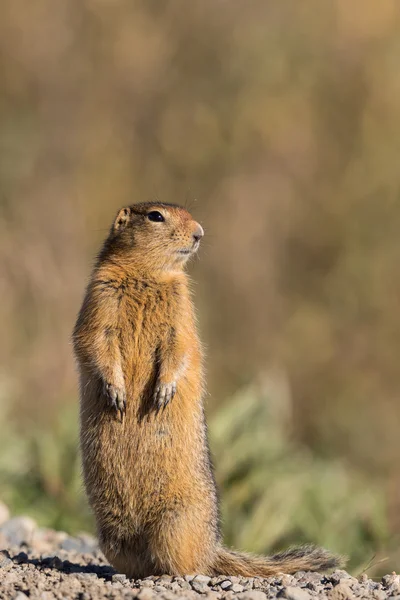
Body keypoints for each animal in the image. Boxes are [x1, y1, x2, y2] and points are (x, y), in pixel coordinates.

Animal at [72, 204, 344, 580]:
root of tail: (212, 549)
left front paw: (162, 393)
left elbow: (182, 345)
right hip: (114, 536)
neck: (149, 275)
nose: (200, 232)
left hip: (176, 522)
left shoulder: (183, 308)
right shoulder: (100, 295)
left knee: (188, 564)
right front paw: (116, 393)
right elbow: (94, 340)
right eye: (156, 216)